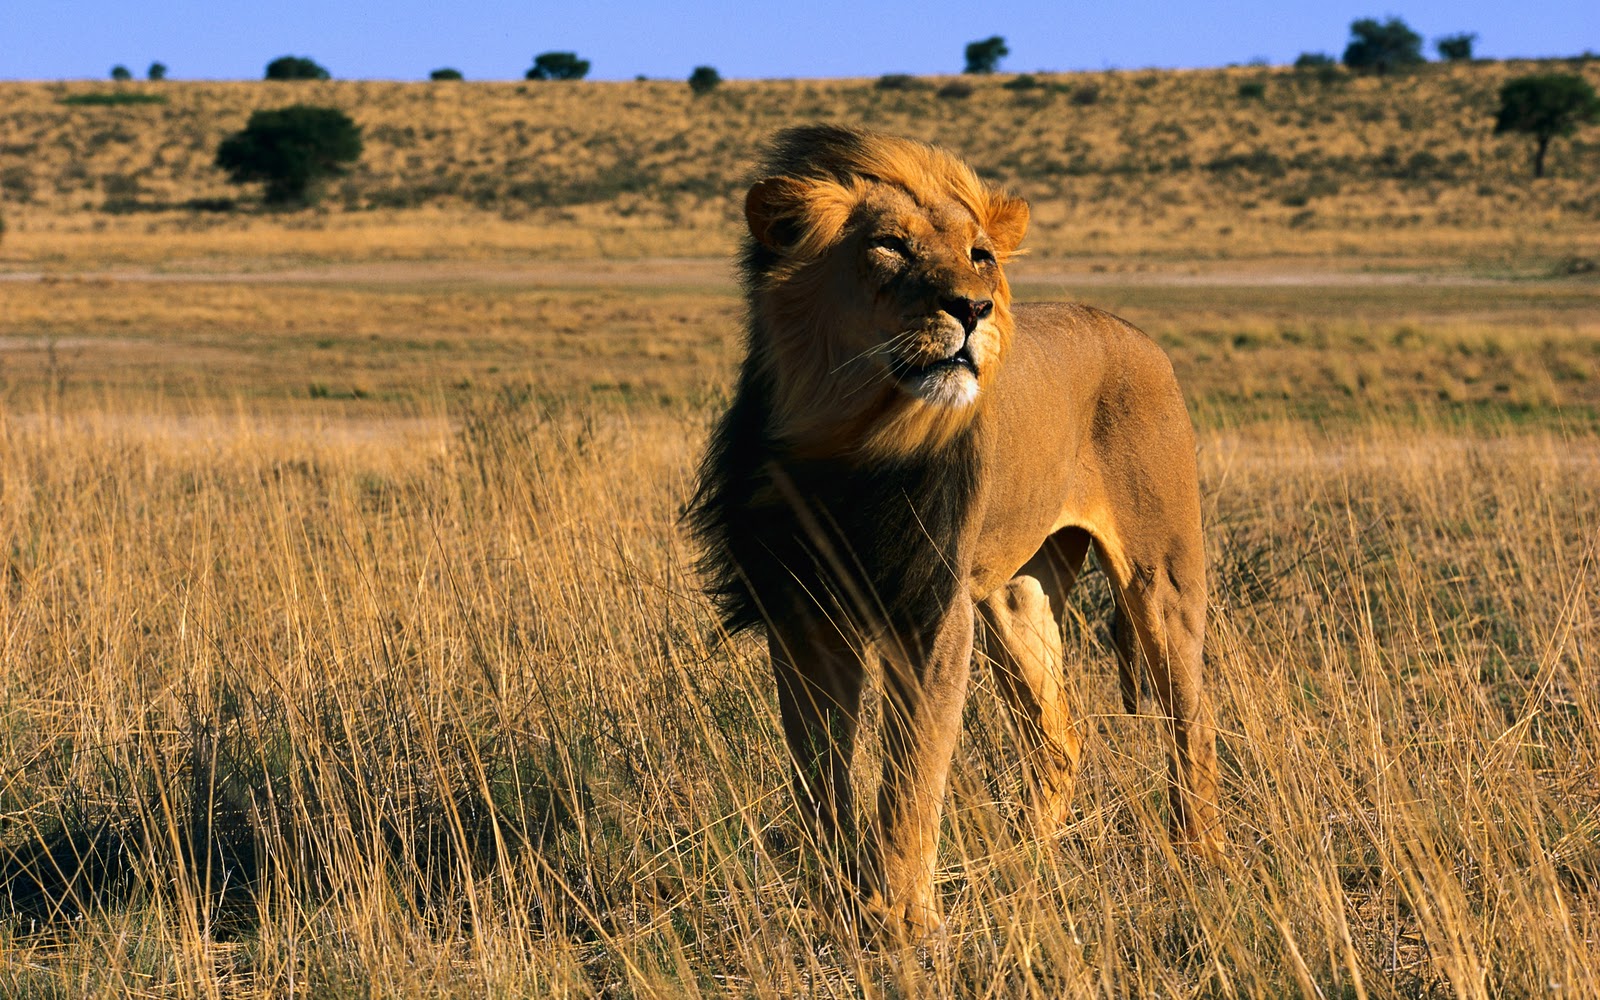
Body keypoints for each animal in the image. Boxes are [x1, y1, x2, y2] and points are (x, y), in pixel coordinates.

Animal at [686, 125, 1223, 936]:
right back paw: (1022, 863)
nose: (972, 309)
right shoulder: (803, 612)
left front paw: (904, 922)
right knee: (1059, 741)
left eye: (980, 255)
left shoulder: (932, 609)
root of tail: (1133, 330)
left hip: (1159, 576)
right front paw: (835, 903)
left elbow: (912, 776)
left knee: (1192, 718)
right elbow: (818, 774)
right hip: (1015, 598)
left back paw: (1200, 857)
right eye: (889, 246)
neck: (852, 438)